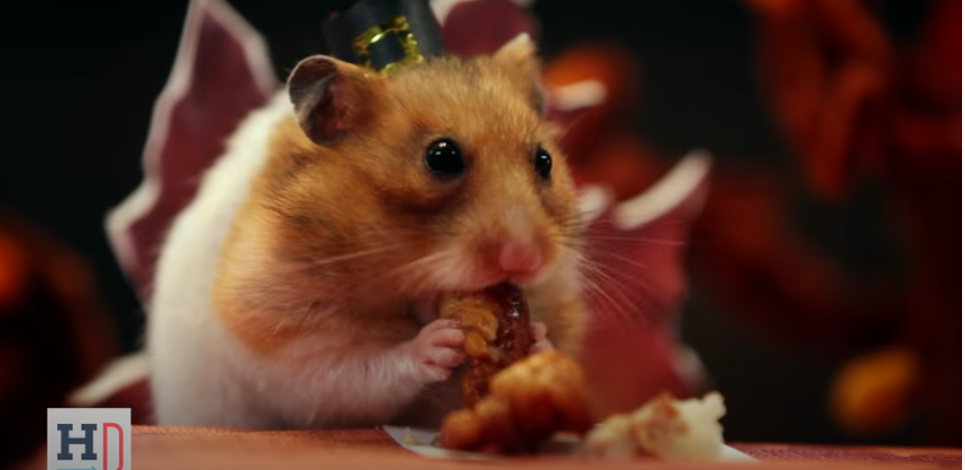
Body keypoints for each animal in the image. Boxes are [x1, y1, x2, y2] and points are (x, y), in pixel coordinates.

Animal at [148, 33, 588, 430]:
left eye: (545, 160)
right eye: (441, 157)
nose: (525, 260)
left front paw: (538, 339)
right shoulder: (283, 338)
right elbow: (360, 372)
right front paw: (439, 340)